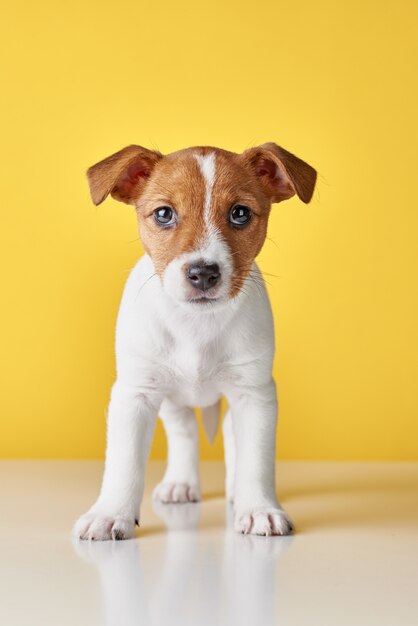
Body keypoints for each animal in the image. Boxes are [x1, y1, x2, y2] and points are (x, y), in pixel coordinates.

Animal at [73, 140, 316, 536]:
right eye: (163, 214)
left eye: (239, 213)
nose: (203, 273)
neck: (196, 325)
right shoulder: (135, 393)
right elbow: (123, 462)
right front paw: (110, 513)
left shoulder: (255, 393)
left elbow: (257, 459)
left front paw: (259, 507)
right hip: (172, 398)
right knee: (183, 431)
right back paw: (180, 483)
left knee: (232, 436)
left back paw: (235, 490)